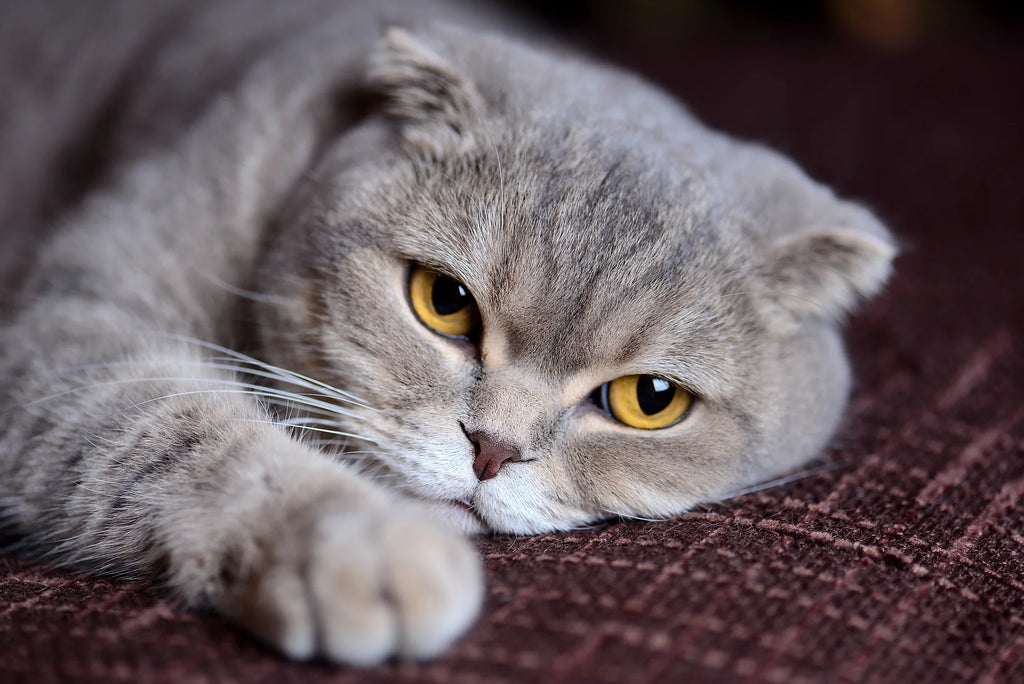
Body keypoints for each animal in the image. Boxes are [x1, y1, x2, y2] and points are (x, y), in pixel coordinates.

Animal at [0, 0, 897, 663]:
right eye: (445, 301)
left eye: (650, 400)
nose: (492, 449)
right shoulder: (68, 321)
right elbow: (173, 427)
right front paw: (366, 549)